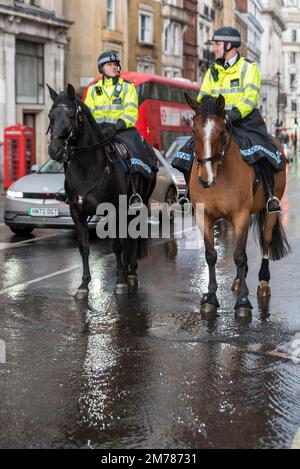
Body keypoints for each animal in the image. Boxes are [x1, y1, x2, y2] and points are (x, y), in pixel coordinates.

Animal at [47, 83, 156, 296]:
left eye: (71, 114)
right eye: (50, 115)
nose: (54, 150)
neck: (87, 167)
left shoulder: (113, 210)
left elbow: (116, 245)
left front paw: (120, 281)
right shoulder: (76, 211)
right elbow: (84, 247)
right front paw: (83, 284)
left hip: (139, 204)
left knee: (133, 237)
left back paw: (131, 273)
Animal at [186, 93, 290, 316]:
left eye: (221, 132)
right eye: (194, 131)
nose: (205, 179)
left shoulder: (240, 215)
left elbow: (240, 256)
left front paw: (243, 301)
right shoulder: (204, 217)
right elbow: (211, 255)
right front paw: (210, 297)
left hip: (269, 210)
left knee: (265, 240)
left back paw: (263, 281)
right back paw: (237, 280)